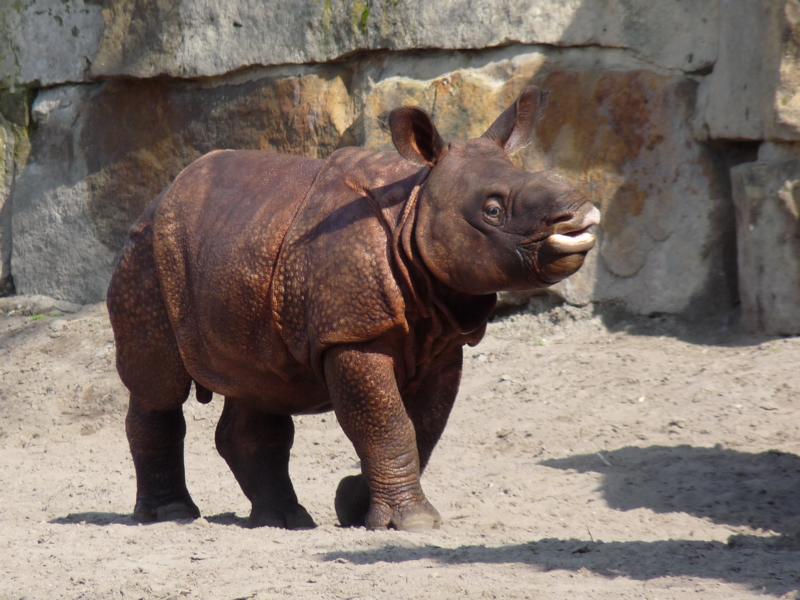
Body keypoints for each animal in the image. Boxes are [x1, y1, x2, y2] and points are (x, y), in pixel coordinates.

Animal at [107, 86, 600, 531]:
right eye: (493, 210)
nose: (579, 213)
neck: (414, 206)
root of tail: (160, 196)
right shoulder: (351, 332)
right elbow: (388, 422)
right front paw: (413, 523)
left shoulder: (442, 339)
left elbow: (422, 426)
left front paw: (355, 504)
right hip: (148, 257)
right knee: (158, 385)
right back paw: (171, 516)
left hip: (240, 248)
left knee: (261, 382)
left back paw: (284, 521)